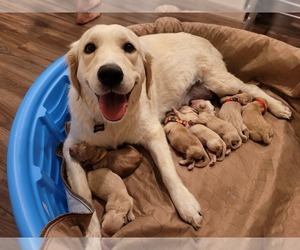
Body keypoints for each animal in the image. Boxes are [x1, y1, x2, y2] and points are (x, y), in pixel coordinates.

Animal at [62, 23, 290, 236]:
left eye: (129, 47)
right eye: (89, 48)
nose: (110, 73)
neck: (112, 121)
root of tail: (201, 38)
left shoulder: (155, 133)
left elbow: (168, 173)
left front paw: (186, 204)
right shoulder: (70, 147)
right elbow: (85, 200)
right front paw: (92, 239)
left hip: (221, 82)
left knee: (251, 87)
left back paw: (279, 107)